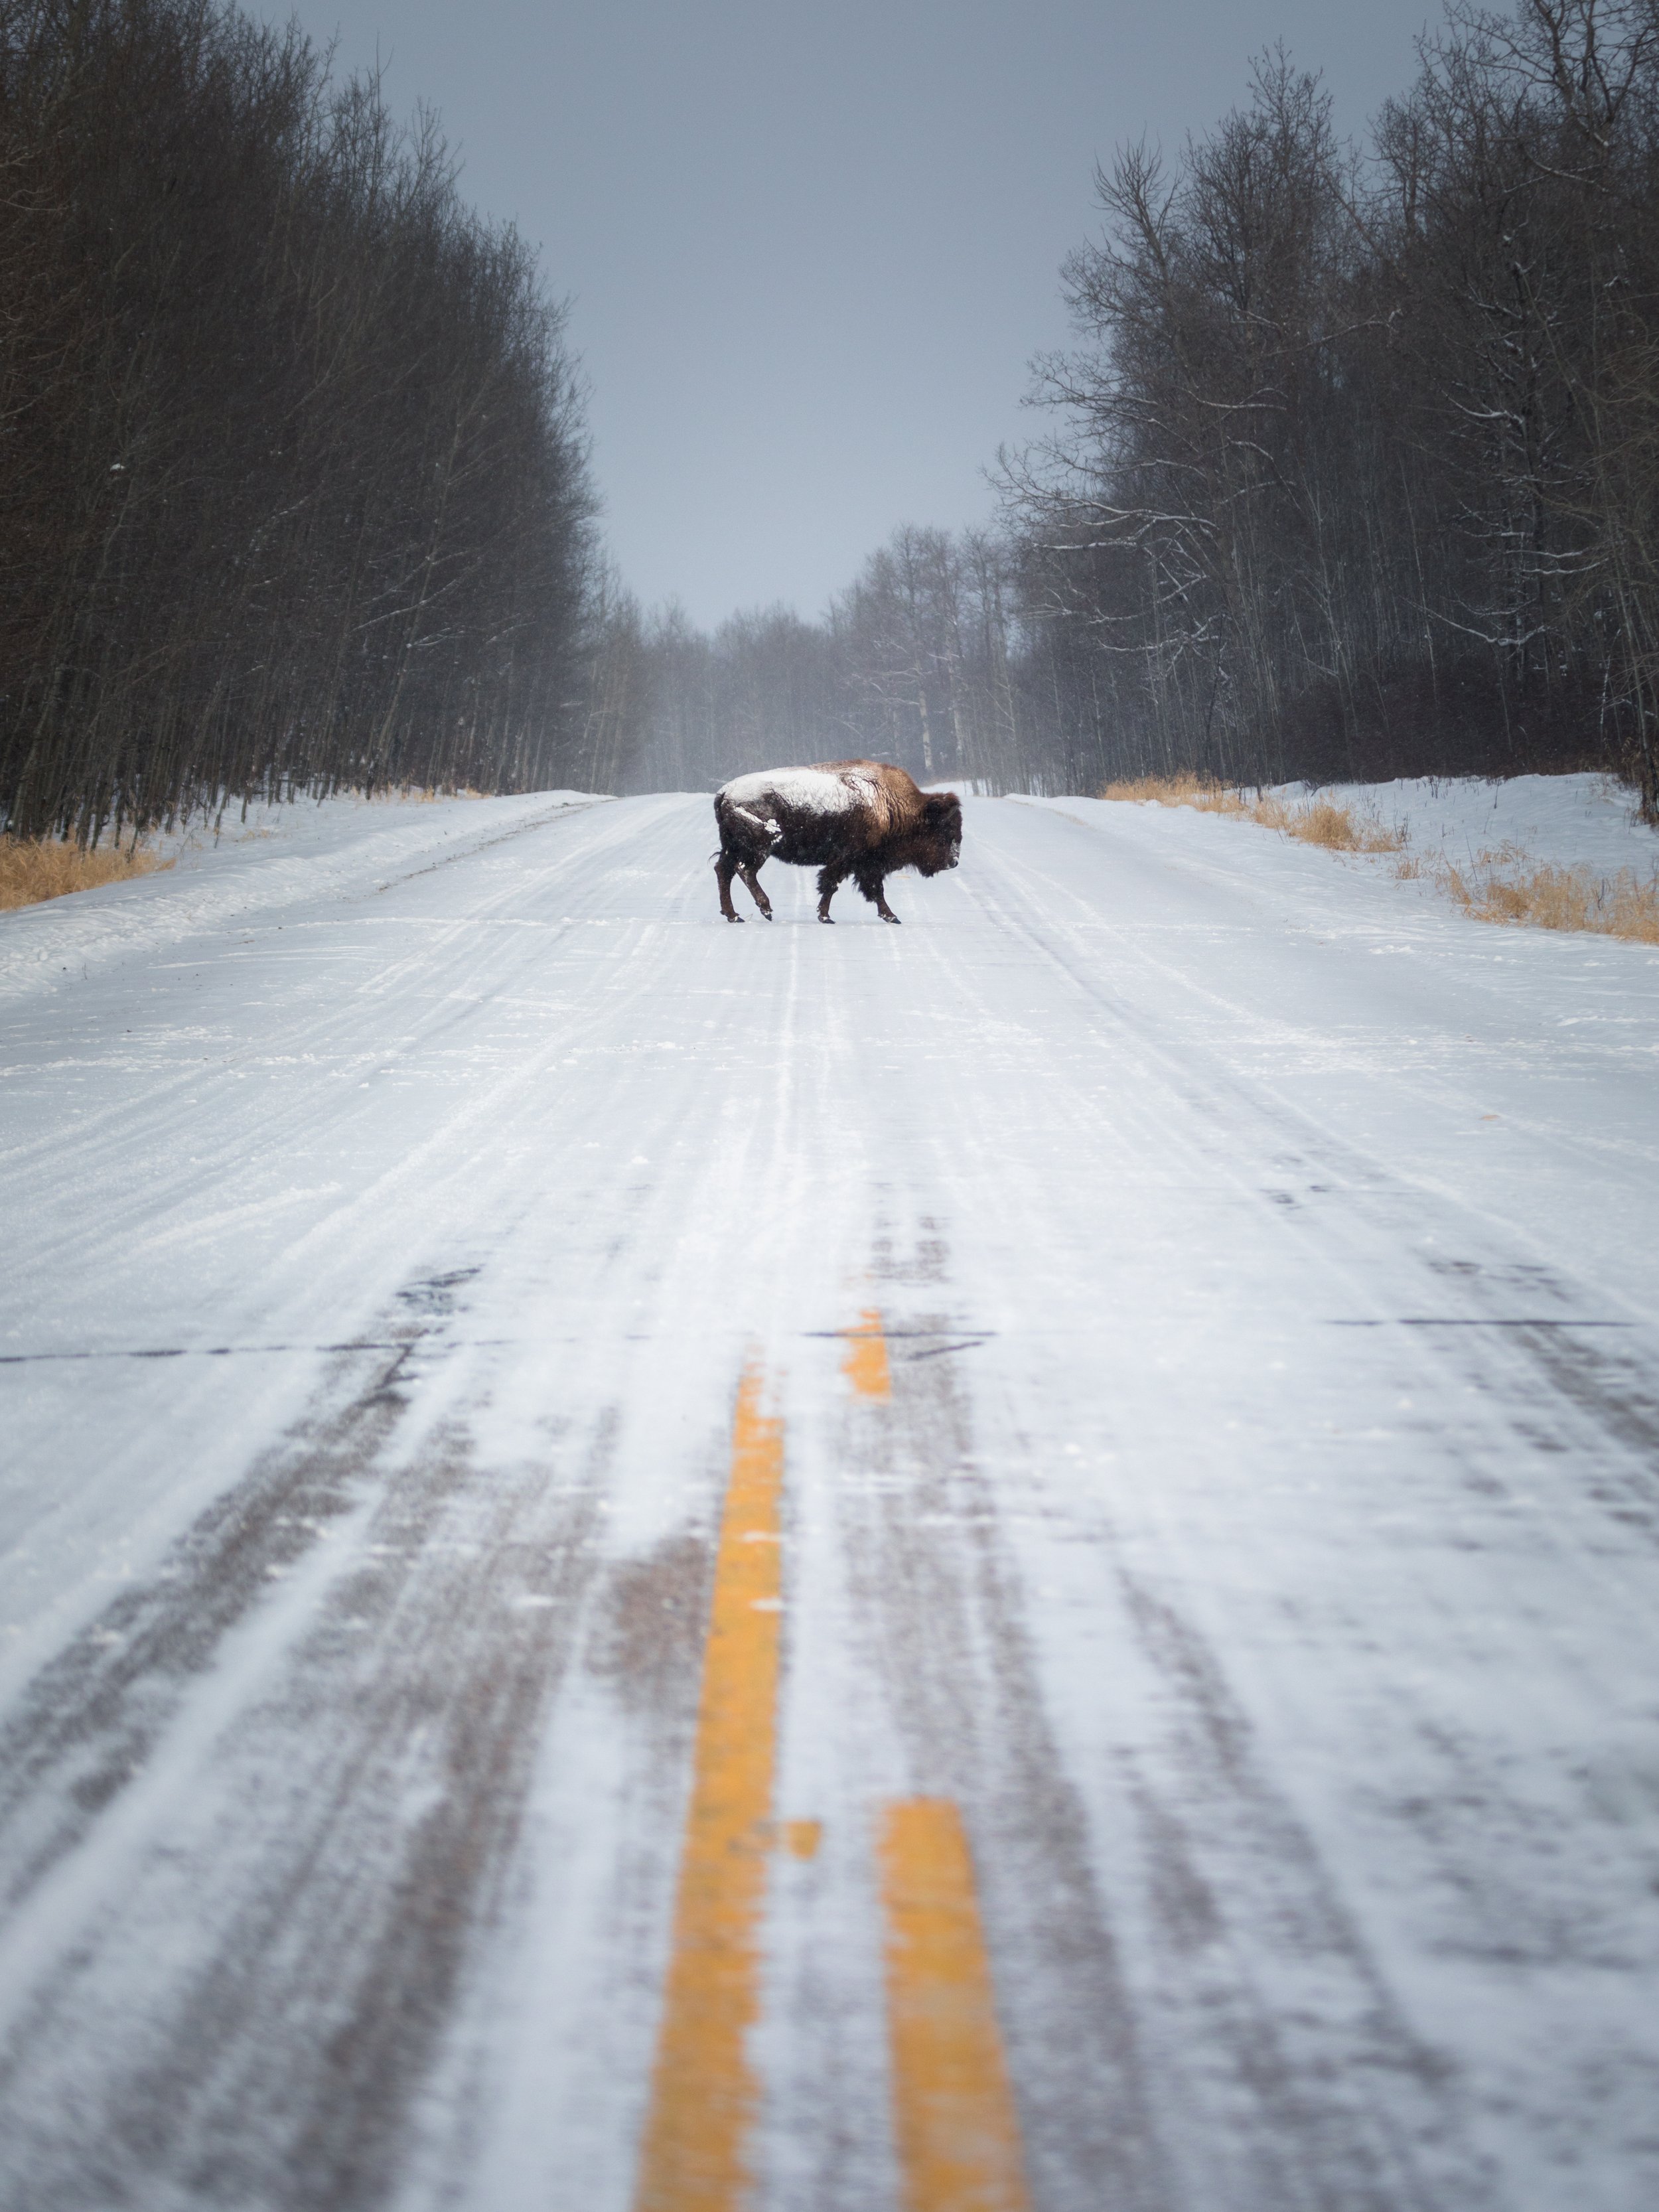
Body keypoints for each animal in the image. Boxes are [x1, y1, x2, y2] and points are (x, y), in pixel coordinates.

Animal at [713, 760, 962, 924]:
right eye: (944, 831)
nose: (954, 862)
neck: (887, 803)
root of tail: (725, 792)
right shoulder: (849, 859)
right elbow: (834, 885)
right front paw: (826, 917)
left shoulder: (866, 864)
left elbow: (873, 890)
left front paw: (890, 916)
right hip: (761, 846)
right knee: (745, 870)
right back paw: (766, 910)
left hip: (732, 846)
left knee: (724, 870)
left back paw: (733, 916)